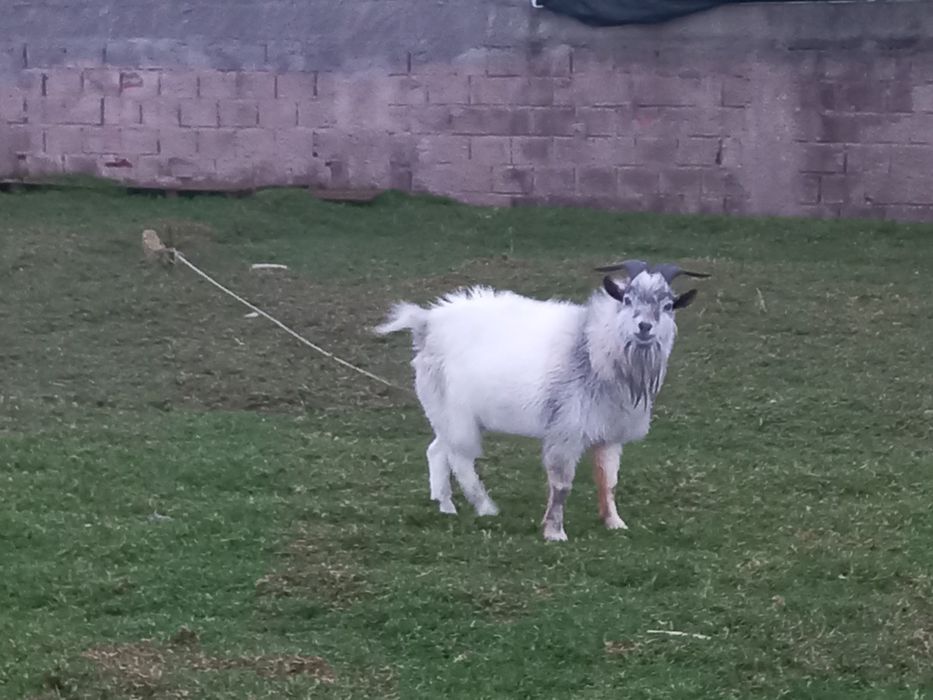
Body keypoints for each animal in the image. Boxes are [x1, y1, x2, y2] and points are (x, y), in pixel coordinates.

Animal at [374, 260, 708, 541]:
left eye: (668, 305)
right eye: (626, 299)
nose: (644, 327)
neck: (590, 348)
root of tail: (426, 322)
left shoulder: (609, 433)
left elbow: (608, 481)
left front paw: (614, 522)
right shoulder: (566, 428)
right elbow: (561, 484)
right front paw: (554, 532)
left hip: (445, 412)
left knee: (437, 449)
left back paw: (446, 505)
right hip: (455, 410)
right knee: (460, 458)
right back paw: (486, 507)